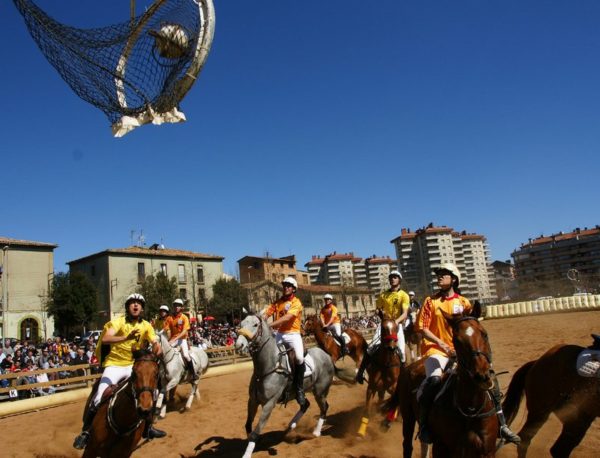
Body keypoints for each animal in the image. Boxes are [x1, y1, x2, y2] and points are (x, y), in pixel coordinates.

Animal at [236, 314, 338, 458]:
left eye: (255, 325)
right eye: (241, 323)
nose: (239, 345)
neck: (267, 367)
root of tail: (326, 355)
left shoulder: (269, 403)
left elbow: (256, 430)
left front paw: (247, 453)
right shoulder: (253, 401)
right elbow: (248, 425)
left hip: (320, 392)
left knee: (324, 407)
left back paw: (316, 432)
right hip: (297, 393)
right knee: (305, 404)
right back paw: (291, 426)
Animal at [384, 308, 496, 458]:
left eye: (484, 334)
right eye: (457, 340)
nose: (481, 376)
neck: (470, 409)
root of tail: (409, 366)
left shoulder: (487, 450)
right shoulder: (442, 447)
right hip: (407, 415)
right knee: (407, 445)